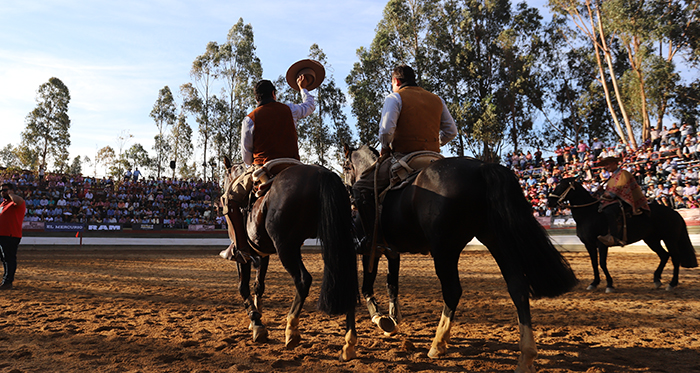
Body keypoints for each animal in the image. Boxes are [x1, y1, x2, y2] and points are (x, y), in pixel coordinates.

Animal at [221, 155, 358, 358]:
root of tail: (322, 174)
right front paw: (257, 317)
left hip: (286, 247)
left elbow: (243, 287)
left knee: (302, 280)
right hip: (337, 238)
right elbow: (258, 285)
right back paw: (348, 344)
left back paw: (291, 329)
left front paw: (257, 324)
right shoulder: (262, 254)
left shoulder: (243, 256)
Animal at [342, 144, 576, 370]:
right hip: (496, 241)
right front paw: (391, 320)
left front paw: (380, 319)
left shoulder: (371, 250)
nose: (348, 191)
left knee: (452, 290)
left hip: (445, 249)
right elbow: (392, 285)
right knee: (517, 287)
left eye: (345, 167)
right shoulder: (392, 252)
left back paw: (438, 344)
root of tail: (482, 167)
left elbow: (367, 286)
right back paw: (526, 356)